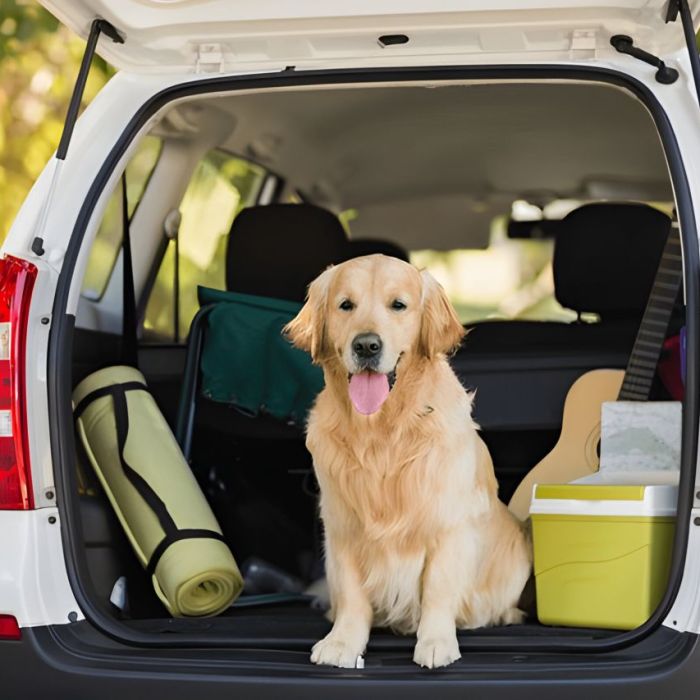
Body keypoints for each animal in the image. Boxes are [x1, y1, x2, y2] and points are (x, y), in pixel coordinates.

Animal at [284, 256, 532, 668]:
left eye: (398, 305)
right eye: (345, 305)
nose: (367, 345)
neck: (382, 432)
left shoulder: (448, 525)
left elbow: (438, 588)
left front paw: (435, 642)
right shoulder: (342, 526)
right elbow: (351, 594)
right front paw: (342, 642)